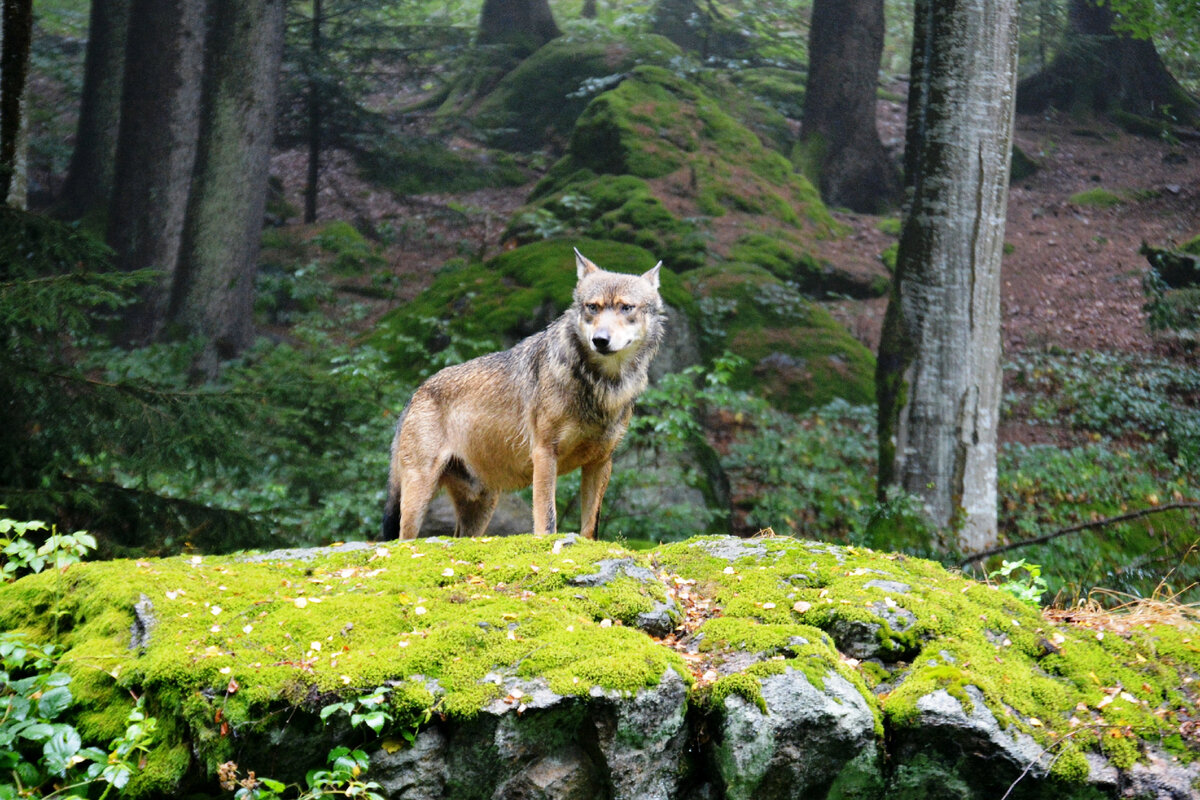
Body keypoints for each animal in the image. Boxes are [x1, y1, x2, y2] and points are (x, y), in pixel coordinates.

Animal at [381, 247, 667, 542]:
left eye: (626, 307)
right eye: (592, 307)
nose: (600, 340)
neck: (601, 384)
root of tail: (416, 393)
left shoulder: (600, 462)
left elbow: (590, 527)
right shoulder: (544, 453)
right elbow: (547, 518)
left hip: (481, 507)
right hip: (418, 496)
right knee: (403, 539)